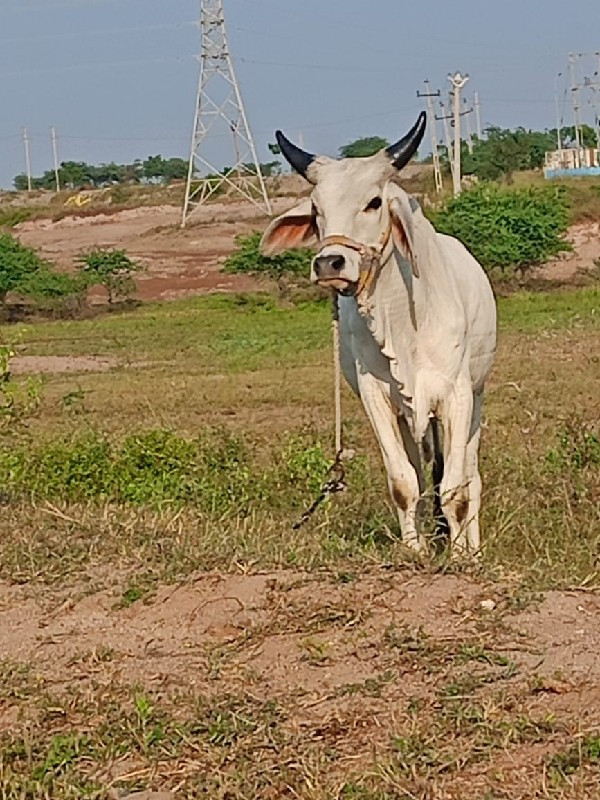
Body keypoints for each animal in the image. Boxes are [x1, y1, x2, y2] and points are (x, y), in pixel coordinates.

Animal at [260, 114, 494, 556]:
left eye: (373, 202)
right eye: (316, 209)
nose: (329, 263)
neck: (405, 322)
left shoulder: (456, 394)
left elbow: (456, 488)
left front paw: (460, 557)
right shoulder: (378, 398)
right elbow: (404, 484)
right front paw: (414, 551)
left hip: (476, 397)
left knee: (470, 477)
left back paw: (470, 546)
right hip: (410, 418)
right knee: (421, 472)